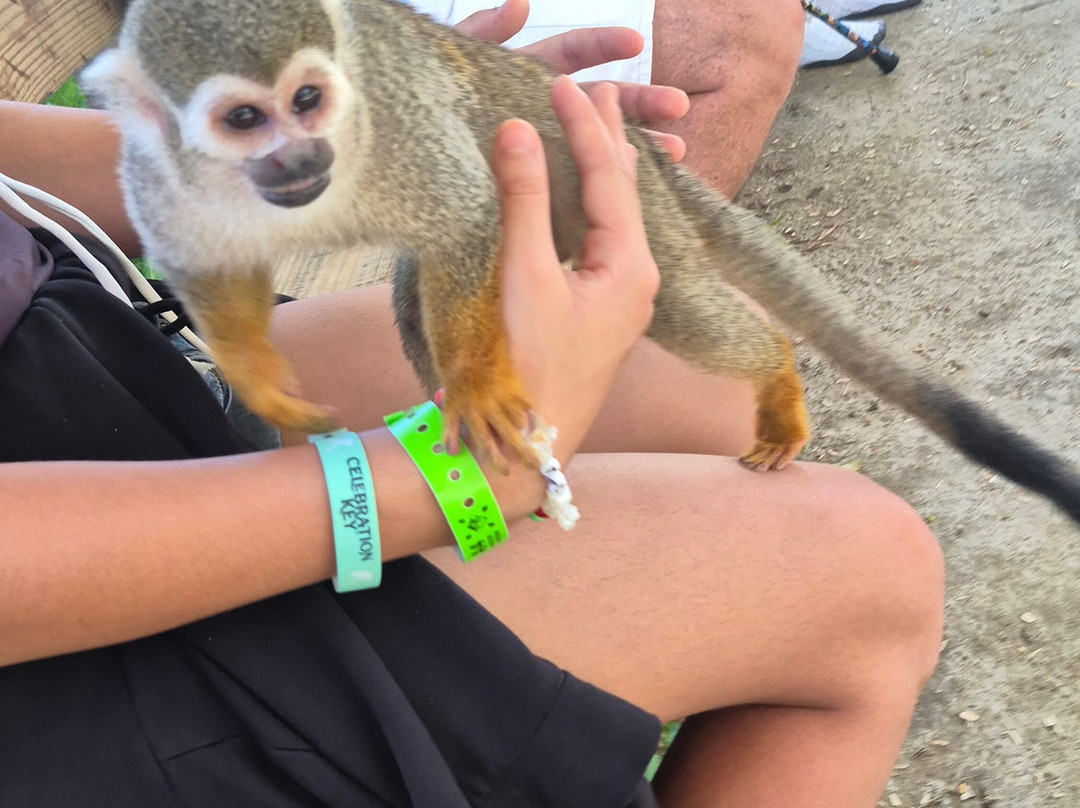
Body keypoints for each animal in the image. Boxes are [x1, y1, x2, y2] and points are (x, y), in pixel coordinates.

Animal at [81, 0, 1080, 526]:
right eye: (245, 119)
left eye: (309, 100)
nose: (304, 158)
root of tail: (647, 157)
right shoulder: (162, 174)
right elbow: (206, 270)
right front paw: (258, 379)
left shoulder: (398, 128)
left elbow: (468, 211)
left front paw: (476, 383)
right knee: (410, 288)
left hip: (635, 213)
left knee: (678, 305)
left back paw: (776, 374)